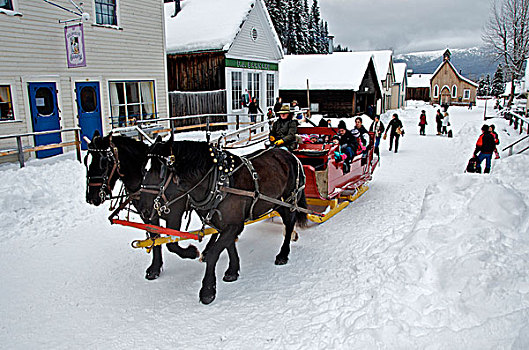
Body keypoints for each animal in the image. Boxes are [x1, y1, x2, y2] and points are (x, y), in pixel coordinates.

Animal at [83, 131, 199, 278]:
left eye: (104, 162)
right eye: (86, 161)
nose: (91, 198)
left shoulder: (174, 214)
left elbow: (171, 243)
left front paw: (191, 252)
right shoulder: (147, 214)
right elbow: (155, 237)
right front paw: (155, 268)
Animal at [138, 139, 308, 304]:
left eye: (160, 173)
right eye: (144, 170)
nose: (143, 209)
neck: (218, 183)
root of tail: (290, 155)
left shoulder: (234, 224)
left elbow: (215, 252)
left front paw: (208, 290)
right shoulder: (225, 224)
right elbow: (228, 245)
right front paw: (232, 270)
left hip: (288, 200)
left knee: (289, 223)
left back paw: (283, 254)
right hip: (276, 203)